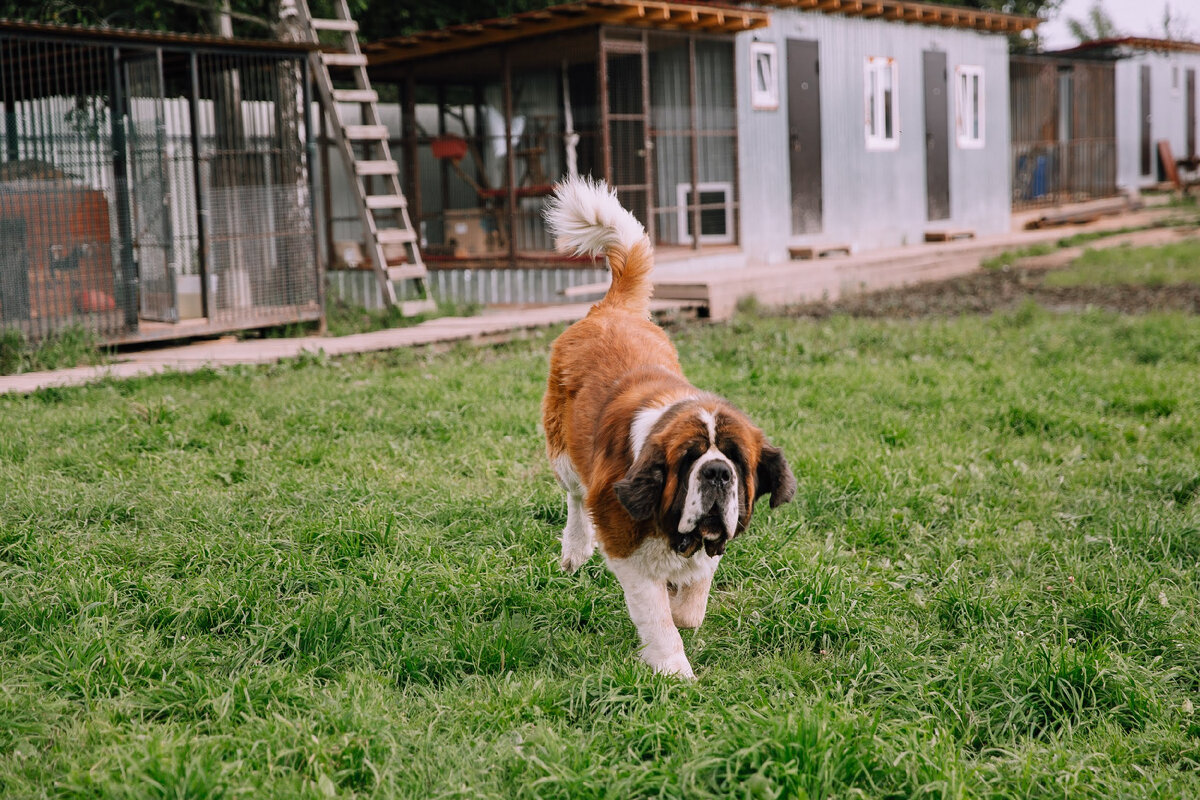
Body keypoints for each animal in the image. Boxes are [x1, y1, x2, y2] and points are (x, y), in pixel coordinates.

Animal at [540, 178, 792, 681]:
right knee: (575, 497)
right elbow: (658, 616)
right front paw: (675, 672)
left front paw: (683, 602)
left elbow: (692, 602)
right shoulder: (624, 545)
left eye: (736, 459)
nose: (717, 473)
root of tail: (610, 309)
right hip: (563, 454)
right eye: (691, 457)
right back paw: (575, 548)